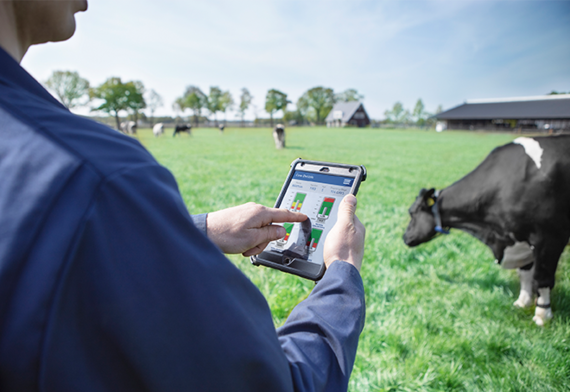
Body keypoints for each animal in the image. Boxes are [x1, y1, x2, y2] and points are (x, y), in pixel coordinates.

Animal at [402, 136, 568, 326]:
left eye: (412, 212)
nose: (405, 237)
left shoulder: (549, 238)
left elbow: (542, 278)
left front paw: (542, 315)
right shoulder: (522, 241)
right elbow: (525, 273)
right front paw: (523, 302)